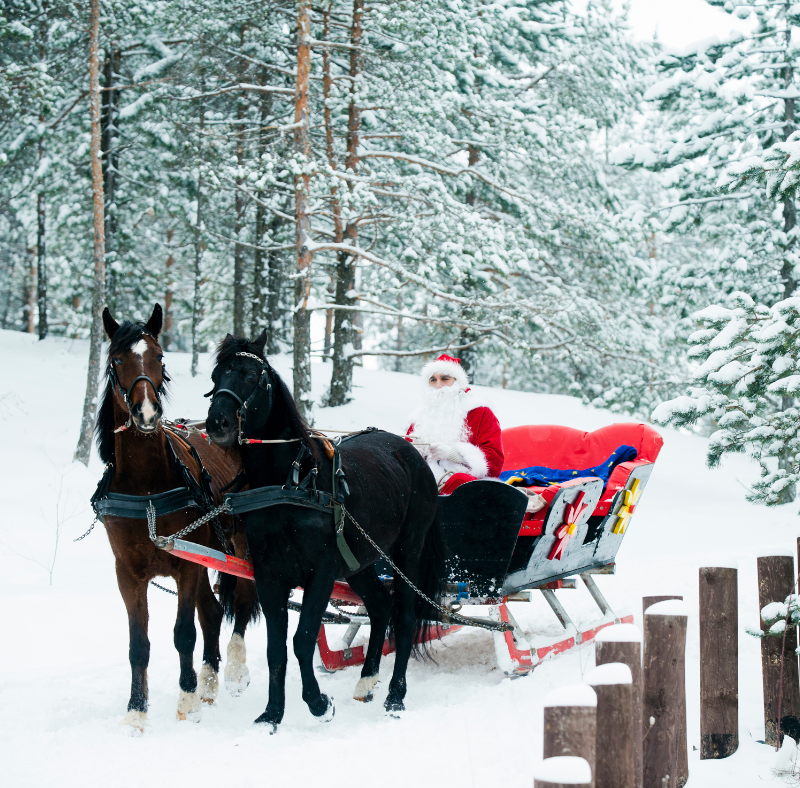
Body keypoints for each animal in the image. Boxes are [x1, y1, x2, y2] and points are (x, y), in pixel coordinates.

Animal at [95, 304, 260, 732]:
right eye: (116, 360)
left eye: (160, 357)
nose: (147, 413)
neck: (146, 489)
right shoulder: (128, 572)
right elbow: (139, 645)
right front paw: (136, 712)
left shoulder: (186, 565)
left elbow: (184, 633)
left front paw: (186, 702)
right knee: (214, 613)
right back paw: (210, 683)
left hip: (240, 548)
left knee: (242, 603)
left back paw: (234, 670)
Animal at [205, 330, 444, 728]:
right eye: (215, 376)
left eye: (253, 376)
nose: (217, 423)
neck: (289, 484)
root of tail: (410, 452)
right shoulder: (269, 576)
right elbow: (275, 648)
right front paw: (272, 714)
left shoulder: (320, 573)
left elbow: (301, 640)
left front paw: (318, 703)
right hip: (362, 561)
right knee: (381, 607)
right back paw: (366, 681)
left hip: (407, 552)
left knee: (405, 617)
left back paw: (395, 695)